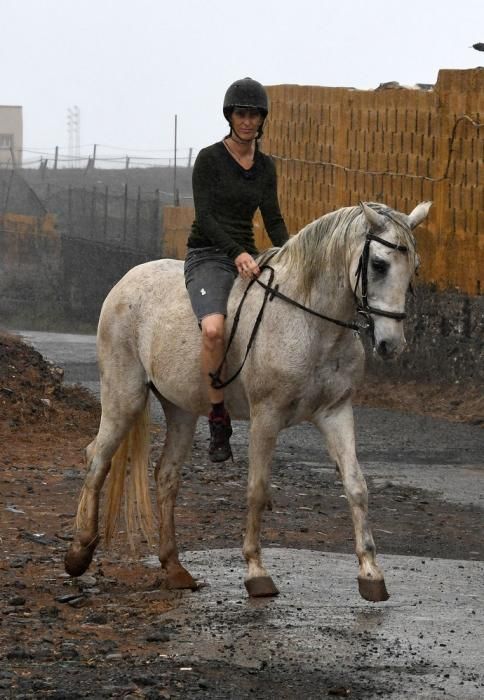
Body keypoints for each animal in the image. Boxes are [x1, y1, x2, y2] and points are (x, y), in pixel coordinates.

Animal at [64, 201, 432, 600]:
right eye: (379, 265)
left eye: (414, 266)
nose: (391, 345)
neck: (311, 323)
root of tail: (125, 282)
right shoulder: (266, 416)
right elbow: (257, 489)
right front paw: (257, 571)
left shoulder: (335, 412)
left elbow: (356, 485)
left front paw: (371, 573)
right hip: (124, 397)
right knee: (97, 458)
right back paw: (78, 553)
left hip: (181, 410)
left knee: (166, 476)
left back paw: (174, 568)